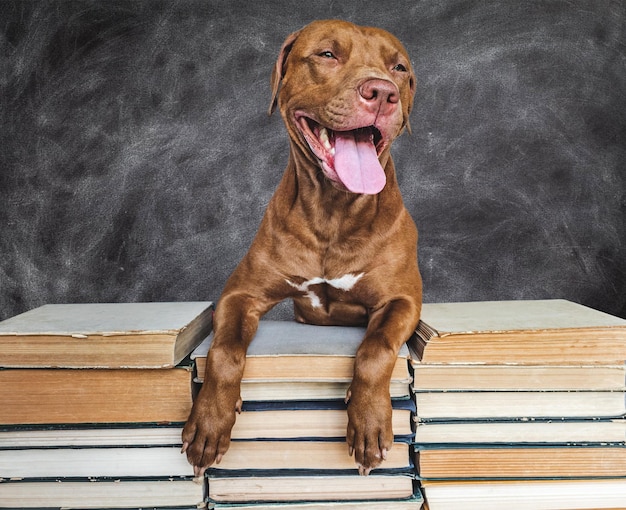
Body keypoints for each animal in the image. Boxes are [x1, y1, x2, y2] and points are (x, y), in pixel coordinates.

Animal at [183, 18, 422, 474]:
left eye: (398, 67)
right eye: (328, 54)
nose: (383, 92)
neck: (333, 211)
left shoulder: (402, 300)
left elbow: (376, 349)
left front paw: (369, 422)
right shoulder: (241, 294)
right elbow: (224, 352)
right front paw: (209, 421)